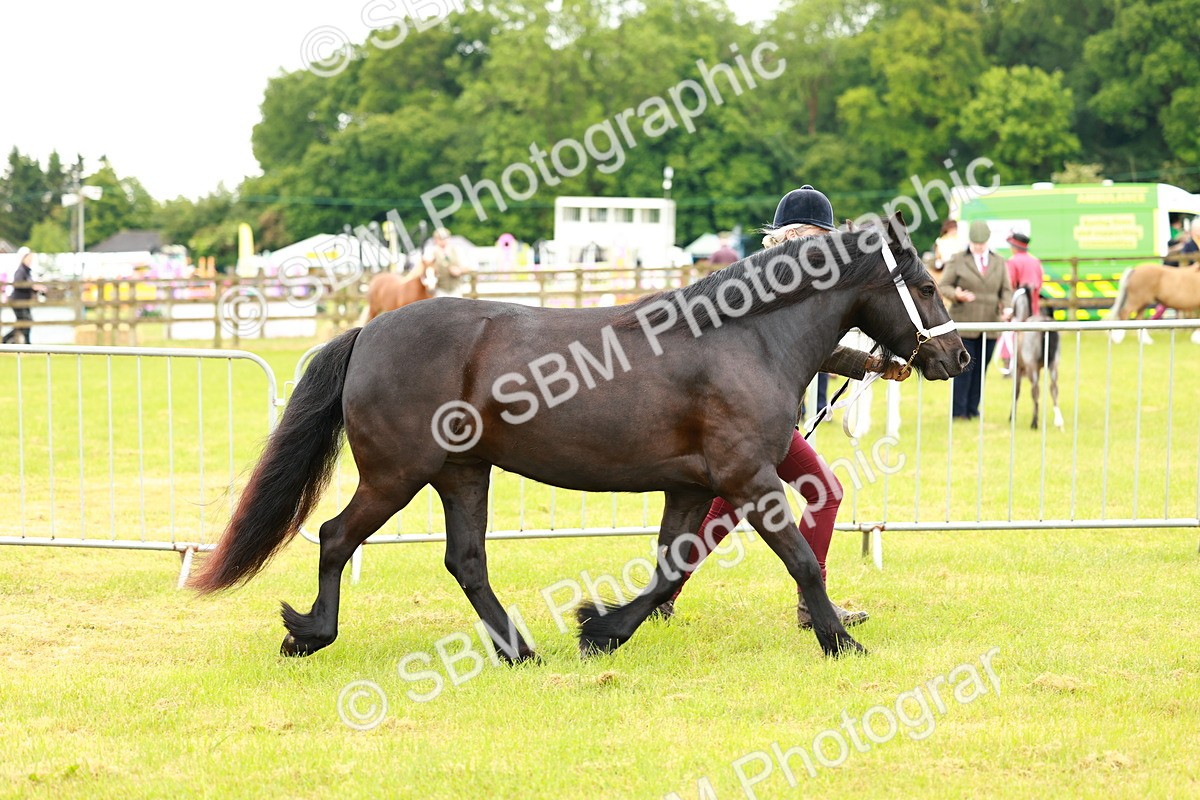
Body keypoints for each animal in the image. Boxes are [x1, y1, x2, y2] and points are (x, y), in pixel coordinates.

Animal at [190, 214, 969, 662]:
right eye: (928, 286)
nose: (957, 356)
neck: (743, 337)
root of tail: (370, 331)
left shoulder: (692, 487)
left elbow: (670, 569)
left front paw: (601, 629)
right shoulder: (749, 480)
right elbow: (800, 562)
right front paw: (843, 640)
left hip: (464, 474)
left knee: (466, 562)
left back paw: (520, 651)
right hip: (397, 476)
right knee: (335, 538)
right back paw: (310, 634)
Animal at [1010, 286, 1063, 431]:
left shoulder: (1019, 368)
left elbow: (1016, 391)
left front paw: (1011, 417)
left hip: (1031, 367)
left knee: (1035, 390)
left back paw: (1034, 422)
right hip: (1054, 365)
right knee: (1054, 388)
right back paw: (1058, 420)